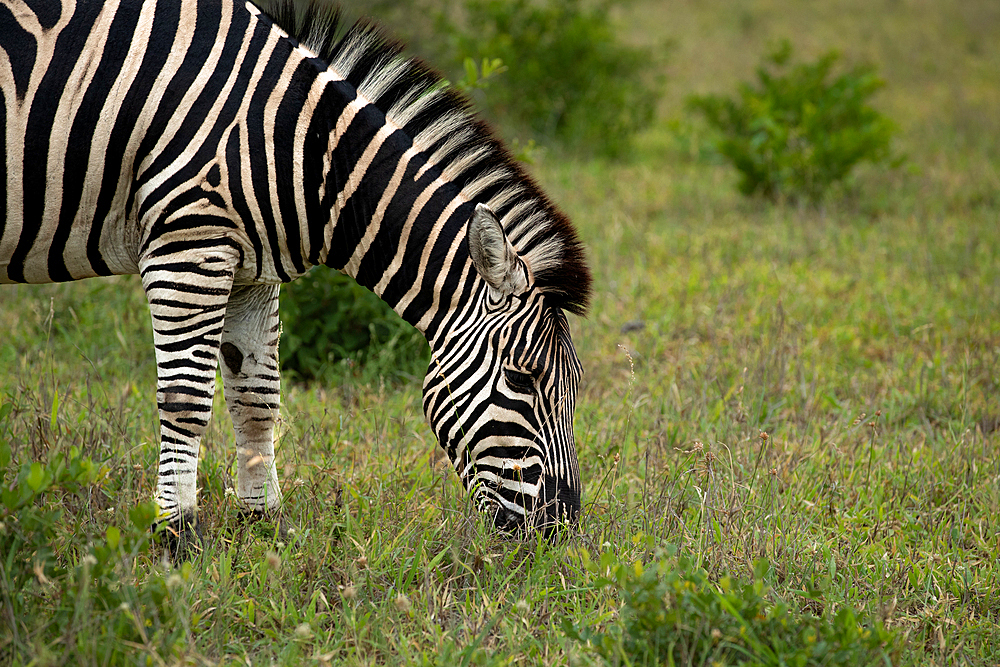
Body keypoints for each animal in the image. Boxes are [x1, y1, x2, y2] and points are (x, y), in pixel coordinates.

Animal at [0, 0, 588, 552]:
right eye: (521, 379)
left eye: (574, 389)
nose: (559, 526)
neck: (305, 149)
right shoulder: (188, 246)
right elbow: (187, 402)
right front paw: (175, 538)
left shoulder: (250, 271)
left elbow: (257, 401)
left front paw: (263, 527)